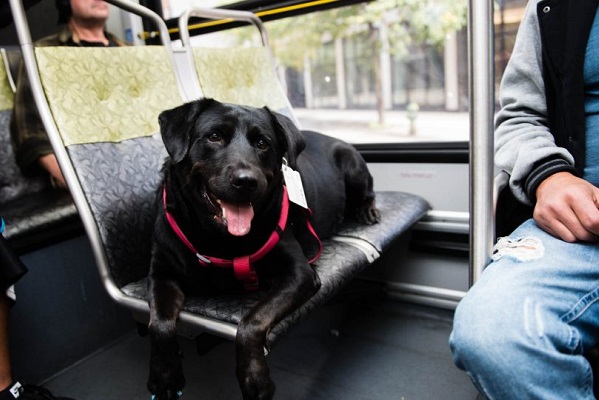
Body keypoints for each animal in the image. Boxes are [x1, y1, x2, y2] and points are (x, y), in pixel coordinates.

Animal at [148, 97, 380, 400]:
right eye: (214, 136)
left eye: (263, 143)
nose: (246, 180)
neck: (218, 239)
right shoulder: (160, 273)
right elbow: (159, 324)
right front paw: (164, 376)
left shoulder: (299, 273)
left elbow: (252, 321)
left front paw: (254, 379)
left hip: (353, 167)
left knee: (368, 193)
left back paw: (367, 210)